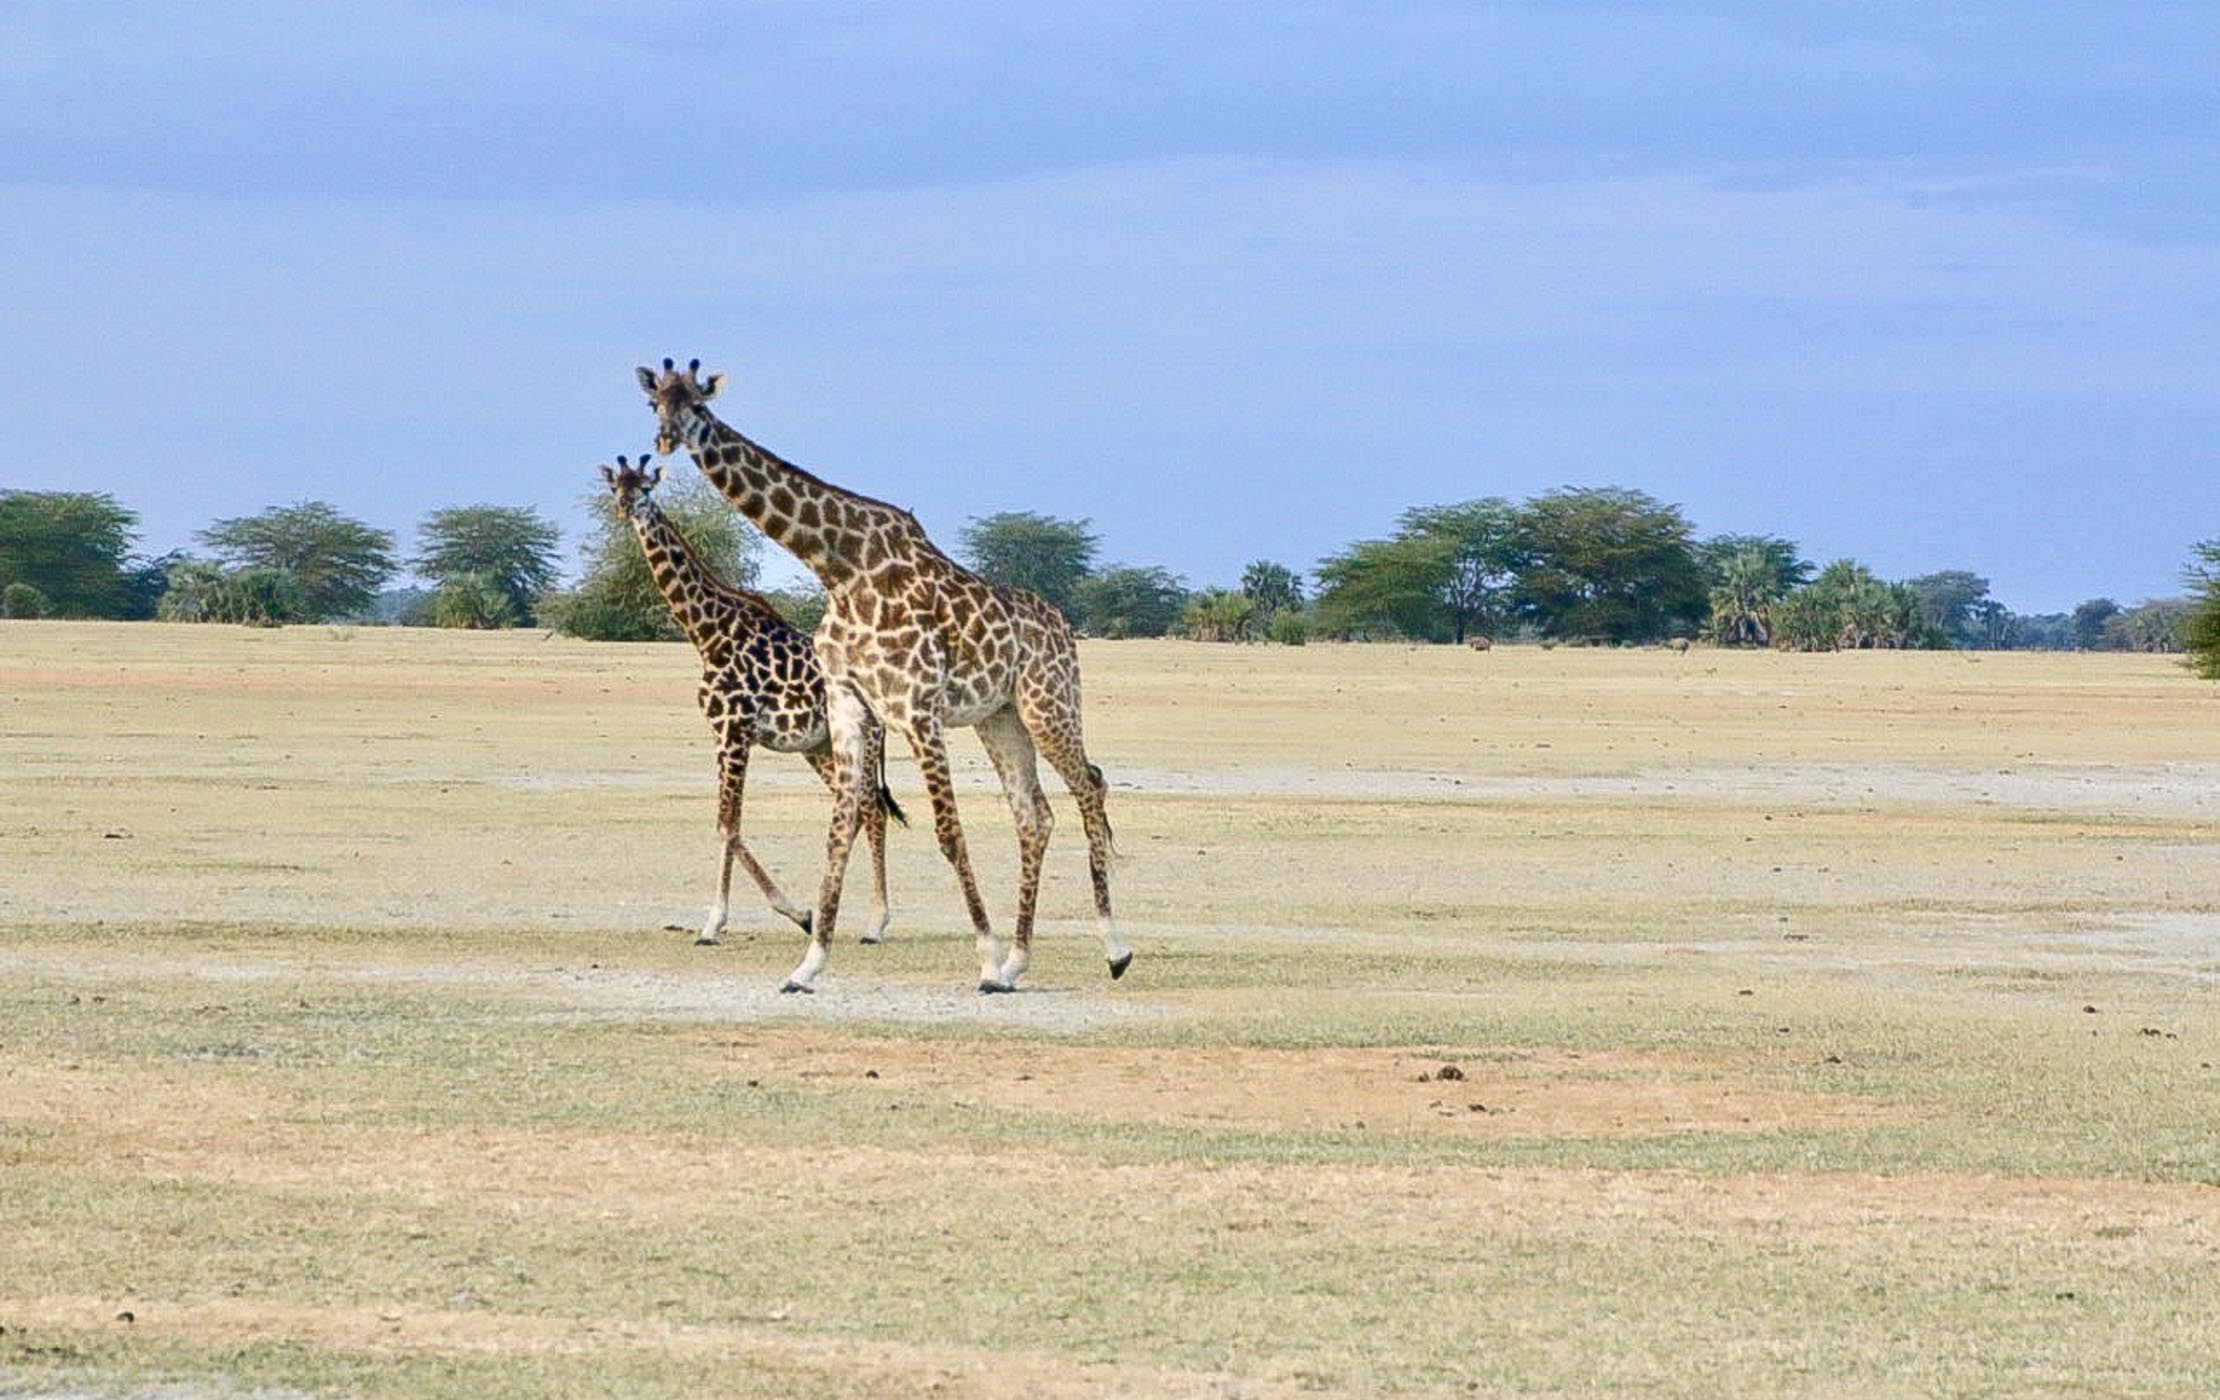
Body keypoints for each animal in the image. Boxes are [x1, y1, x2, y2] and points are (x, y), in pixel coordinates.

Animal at [594, 454, 905, 949]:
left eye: (645, 488)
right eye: (615, 488)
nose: (626, 510)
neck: (708, 633)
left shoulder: (735, 732)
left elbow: (728, 825)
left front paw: (719, 924)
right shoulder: (721, 735)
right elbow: (728, 826)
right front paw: (801, 914)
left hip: (866, 738)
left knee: (872, 809)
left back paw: (876, 924)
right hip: (818, 746)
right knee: (854, 808)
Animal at [634, 361, 1136, 998]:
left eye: (699, 405)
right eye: (655, 404)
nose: (664, 440)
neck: (839, 567)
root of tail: (1063, 626)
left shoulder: (916, 707)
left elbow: (948, 832)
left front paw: (984, 957)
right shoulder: (850, 708)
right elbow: (838, 827)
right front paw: (807, 965)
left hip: (1048, 703)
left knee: (1089, 786)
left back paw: (1113, 951)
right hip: (999, 719)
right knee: (1034, 816)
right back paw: (1019, 964)